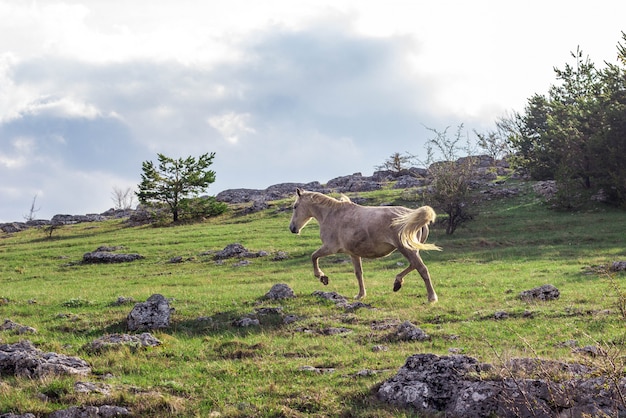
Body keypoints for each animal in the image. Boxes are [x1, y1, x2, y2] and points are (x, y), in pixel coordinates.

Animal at [288, 189, 438, 300]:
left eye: (295, 206)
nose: (292, 228)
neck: (332, 215)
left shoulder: (330, 248)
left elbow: (313, 256)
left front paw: (322, 277)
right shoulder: (353, 253)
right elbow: (358, 273)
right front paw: (360, 295)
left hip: (407, 249)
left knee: (422, 269)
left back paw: (432, 297)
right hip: (412, 249)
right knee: (414, 265)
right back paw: (397, 283)